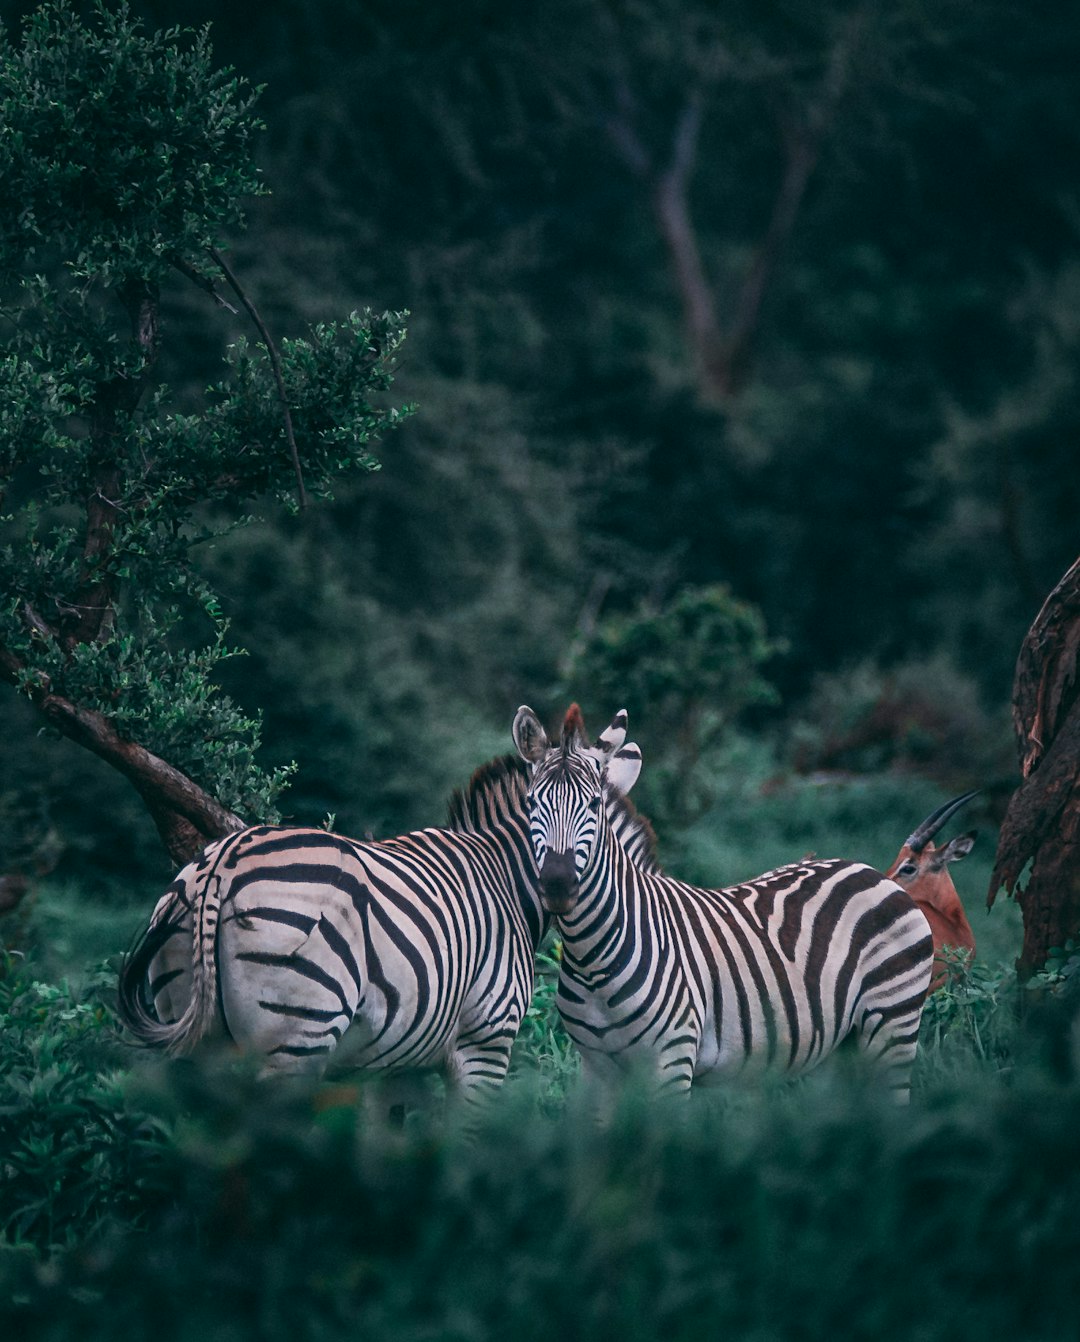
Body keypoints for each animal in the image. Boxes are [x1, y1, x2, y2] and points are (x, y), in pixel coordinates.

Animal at [118, 746, 657, 1100]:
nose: (559, 884)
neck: (504, 876)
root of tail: (223, 861)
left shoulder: (401, 1060)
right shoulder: (486, 1042)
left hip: (192, 1029)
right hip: (296, 1037)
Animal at [509, 703, 933, 1100]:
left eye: (594, 805)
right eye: (530, 804)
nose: (558, 885)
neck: (593, 958)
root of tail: (870, 871)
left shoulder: (673, 1060)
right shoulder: (596, 1069)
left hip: (893, 1024)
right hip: (838, 1048)